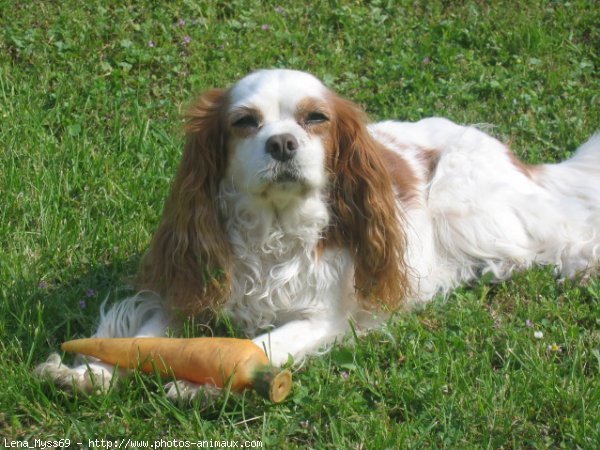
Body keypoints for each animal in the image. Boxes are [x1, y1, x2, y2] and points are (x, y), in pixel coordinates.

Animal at [37, 68, 600, 400]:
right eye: (245, 122)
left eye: (315, 118)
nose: (282, 143)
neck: (273, 230)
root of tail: (509, 155)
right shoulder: (190, 295)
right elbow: (141, 339)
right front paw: (90, 373)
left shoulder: (322, 317)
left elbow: (261, 344)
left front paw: (201, 386)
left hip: (472, 208)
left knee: (561, 227)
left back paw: (577, 265)